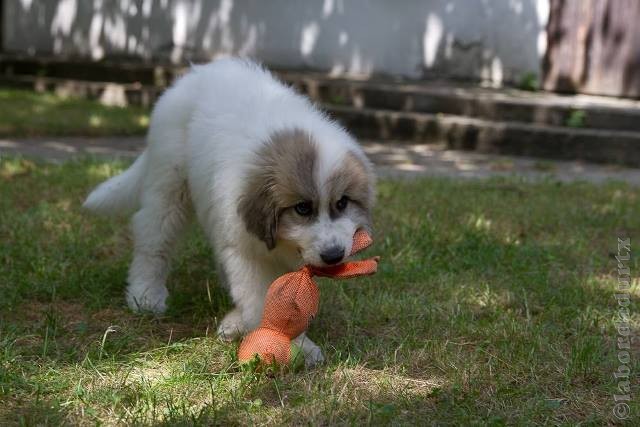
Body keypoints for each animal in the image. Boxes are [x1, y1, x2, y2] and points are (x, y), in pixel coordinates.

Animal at [84, 56, 376, 364]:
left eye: (342, 203)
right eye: (302, 208)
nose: (333, 256)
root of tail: (195, 74)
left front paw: (237, 324)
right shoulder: (244, 249)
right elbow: (260, 298)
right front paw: (296, 346)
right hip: (168, 184)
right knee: (153, 238)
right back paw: (145, 295)